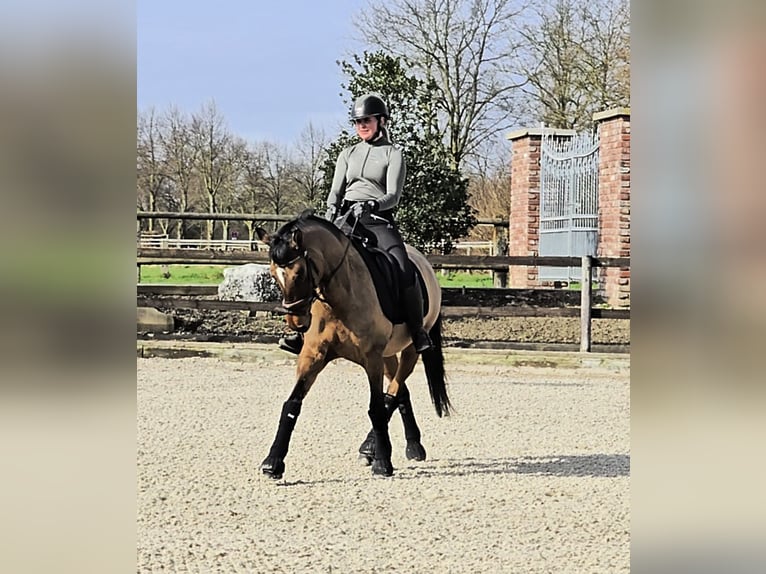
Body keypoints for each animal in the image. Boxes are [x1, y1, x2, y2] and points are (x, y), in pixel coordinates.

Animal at [255, 212, 452, 482]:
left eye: (299, 273)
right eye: (274, 275)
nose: (296, 322)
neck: (339, 296)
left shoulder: (372, 358)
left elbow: (376, 407)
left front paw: (382, 463)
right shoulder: (313, 355)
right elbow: (292, 403)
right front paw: (273, 462)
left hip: (410, 348)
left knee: (393, 391)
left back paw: (377, 448)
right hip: (387, 355)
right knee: (399, 391)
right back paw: (410, 445)